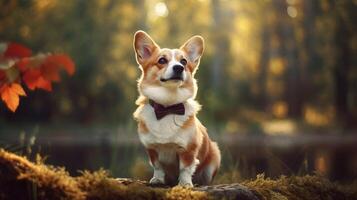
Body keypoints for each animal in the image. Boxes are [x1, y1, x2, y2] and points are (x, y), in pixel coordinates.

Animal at [131, 30, 218, 187]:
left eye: (184, 61)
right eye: (161, 60)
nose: (179, 67)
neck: (168, 107)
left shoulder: (188, 150)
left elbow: (185, 168)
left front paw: (185, 184)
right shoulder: (152, 149)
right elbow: (157, 166)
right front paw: (157, 180)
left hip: (215, 155)